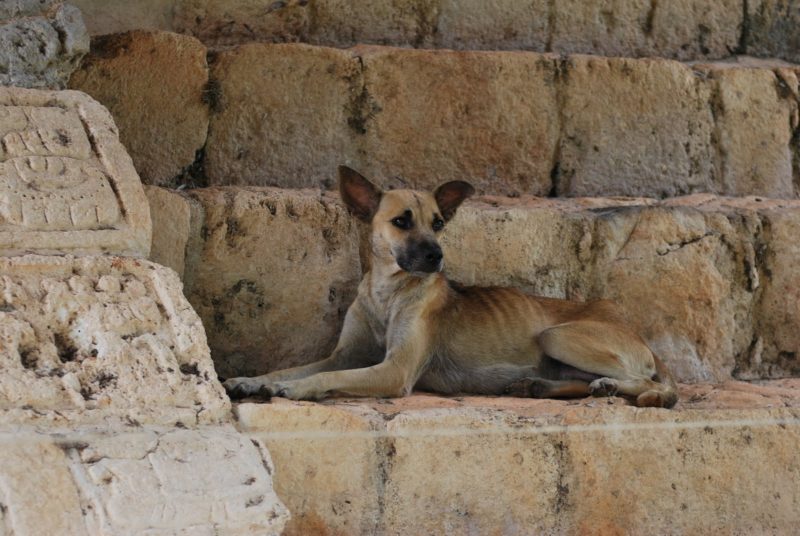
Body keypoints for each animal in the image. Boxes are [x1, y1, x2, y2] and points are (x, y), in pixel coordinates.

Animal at [222, 165, 680, 408]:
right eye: (401, 221)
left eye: (439, 222)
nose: (436, 256)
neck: (387, 294)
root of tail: (640, 337)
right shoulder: (344, 354)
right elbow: (295, 367)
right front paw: (252, 380)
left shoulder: (394, 371)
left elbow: (320, 378)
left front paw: (292, 389)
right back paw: (540, 386)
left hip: (557, 335)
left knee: (655, 386)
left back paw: (617, 387)